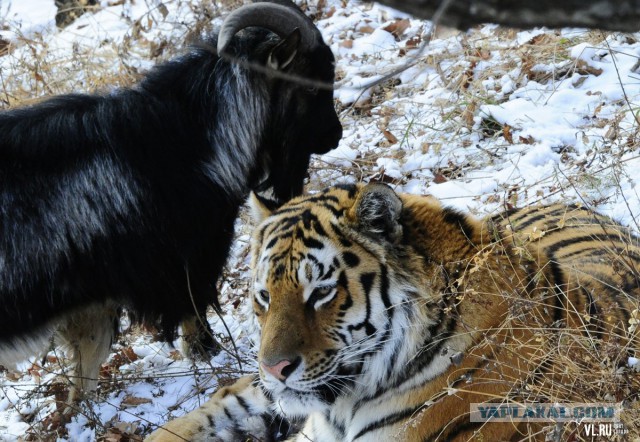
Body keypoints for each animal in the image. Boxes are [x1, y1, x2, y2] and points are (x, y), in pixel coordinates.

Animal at [0, 0, 342, 398]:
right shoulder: (189, 256)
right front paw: (206, 349)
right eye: (313, 83)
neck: (188, 141)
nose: (336, 135)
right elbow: (194, 304)